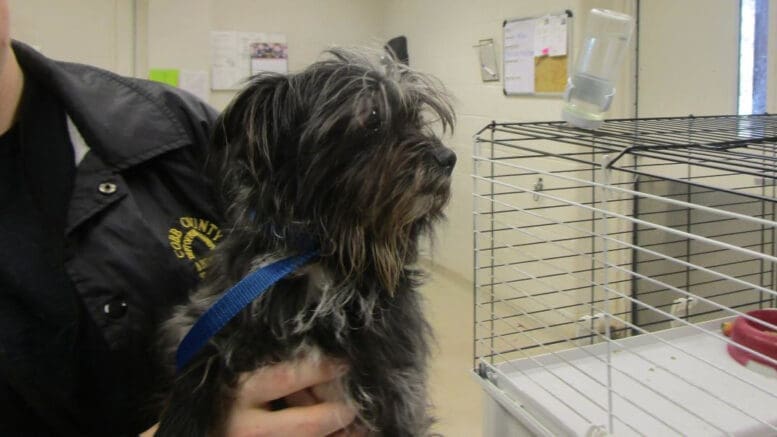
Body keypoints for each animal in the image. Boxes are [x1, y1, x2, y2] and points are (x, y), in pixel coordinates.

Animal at [156, 49, 454, 434]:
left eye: (417, 119)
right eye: (373, 118)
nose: (448, 159)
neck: (322, 256)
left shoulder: (399, 386)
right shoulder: (202, 318)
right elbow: (197, 366)